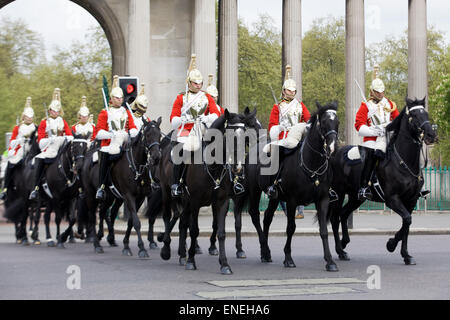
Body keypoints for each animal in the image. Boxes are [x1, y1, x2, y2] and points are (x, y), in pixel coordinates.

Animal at [248, 102, 340, 270]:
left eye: (337, 122)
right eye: (323, 122)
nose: (333, 148)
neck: (312, 164)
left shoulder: (323, 200)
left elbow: (323, 230)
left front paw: (330, 261)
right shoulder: (292, 201)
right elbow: (291, 228)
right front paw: (288, 258)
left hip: (274, 198)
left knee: (267, 218)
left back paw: (266, 253)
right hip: (255, 191)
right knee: (255, 216)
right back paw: (264, 250)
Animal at [330, 97, 436, 264]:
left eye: (425, 113)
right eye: (414, 115)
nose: (431, 135)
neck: (403, 162)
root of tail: (335, 153)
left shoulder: (411, 200)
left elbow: (407, 223)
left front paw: (406, 255)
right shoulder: (392, 199)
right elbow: (407, 220)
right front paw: (391, 244)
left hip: (356, 197)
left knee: (344, 214)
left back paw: (344, 243)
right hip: (339, 193)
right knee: (335, 218)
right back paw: (340, 251)